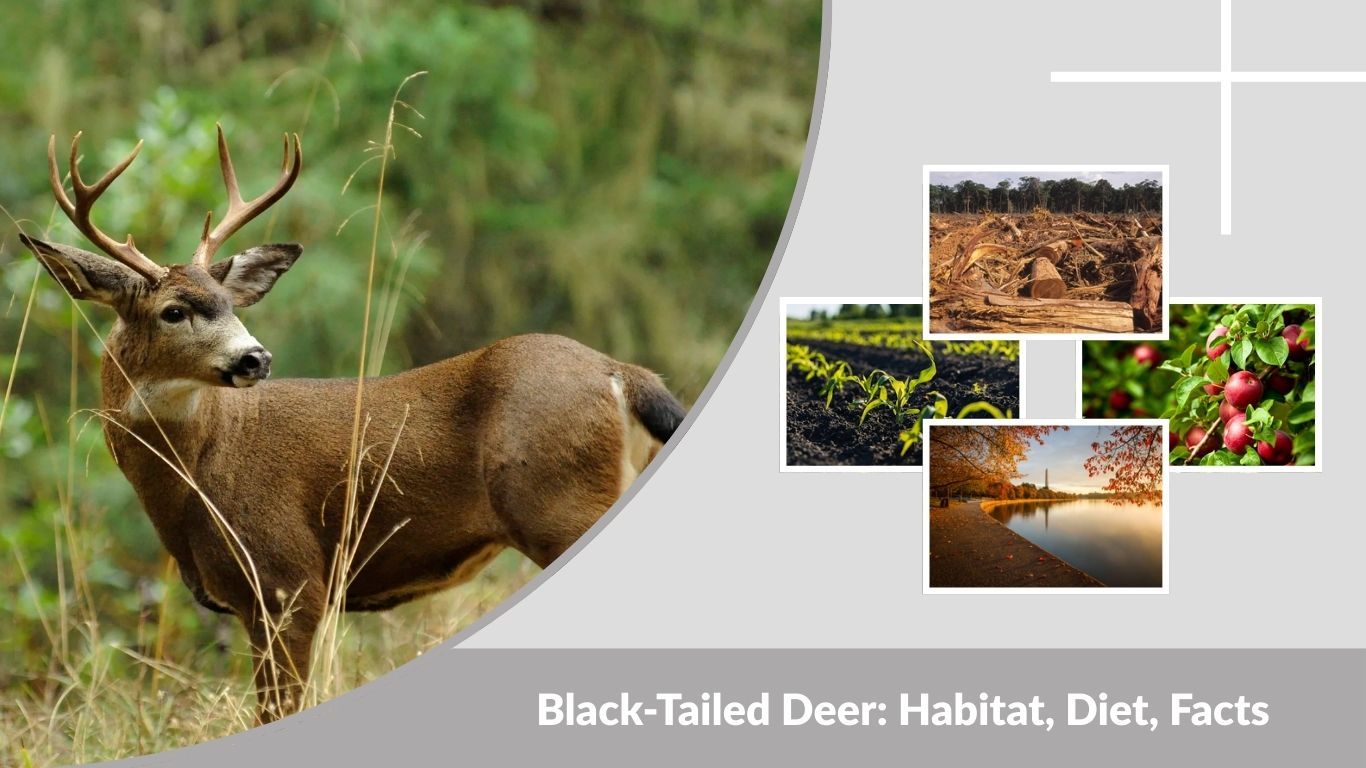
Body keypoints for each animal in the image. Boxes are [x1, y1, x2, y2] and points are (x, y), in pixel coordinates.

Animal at [17, 128, 685, 723]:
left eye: (229, 303)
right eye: (173, 311)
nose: (255, 358)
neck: (193, 481)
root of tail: (621, 372)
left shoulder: (289, 581)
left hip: (559, 504)